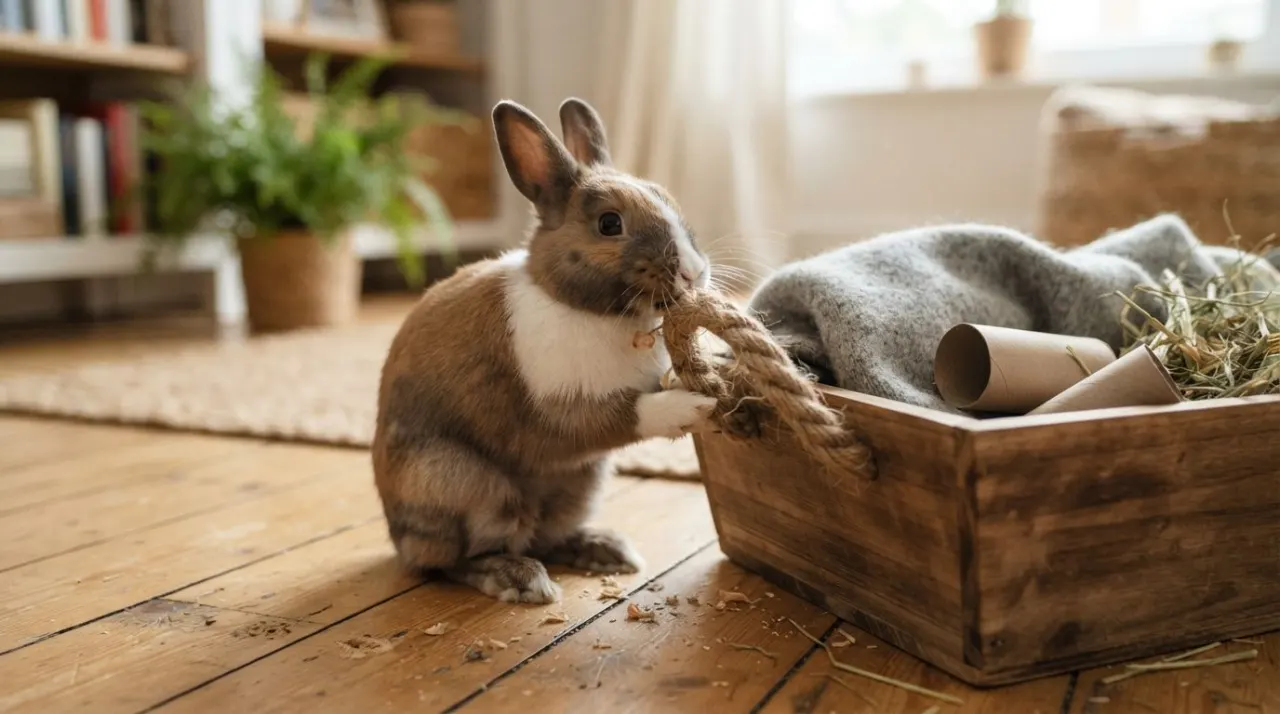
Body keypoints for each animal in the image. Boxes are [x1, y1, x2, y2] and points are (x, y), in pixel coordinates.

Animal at [371, 97, 715, 604]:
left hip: (580, 485)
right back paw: (519, 579)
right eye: (609, 224)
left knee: (547, 537)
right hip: (467, 486)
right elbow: (625, 414)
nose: (693, 273)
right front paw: (692, 406)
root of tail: (397, 537)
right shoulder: (559, 413)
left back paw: (607, 549)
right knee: (450, 562)